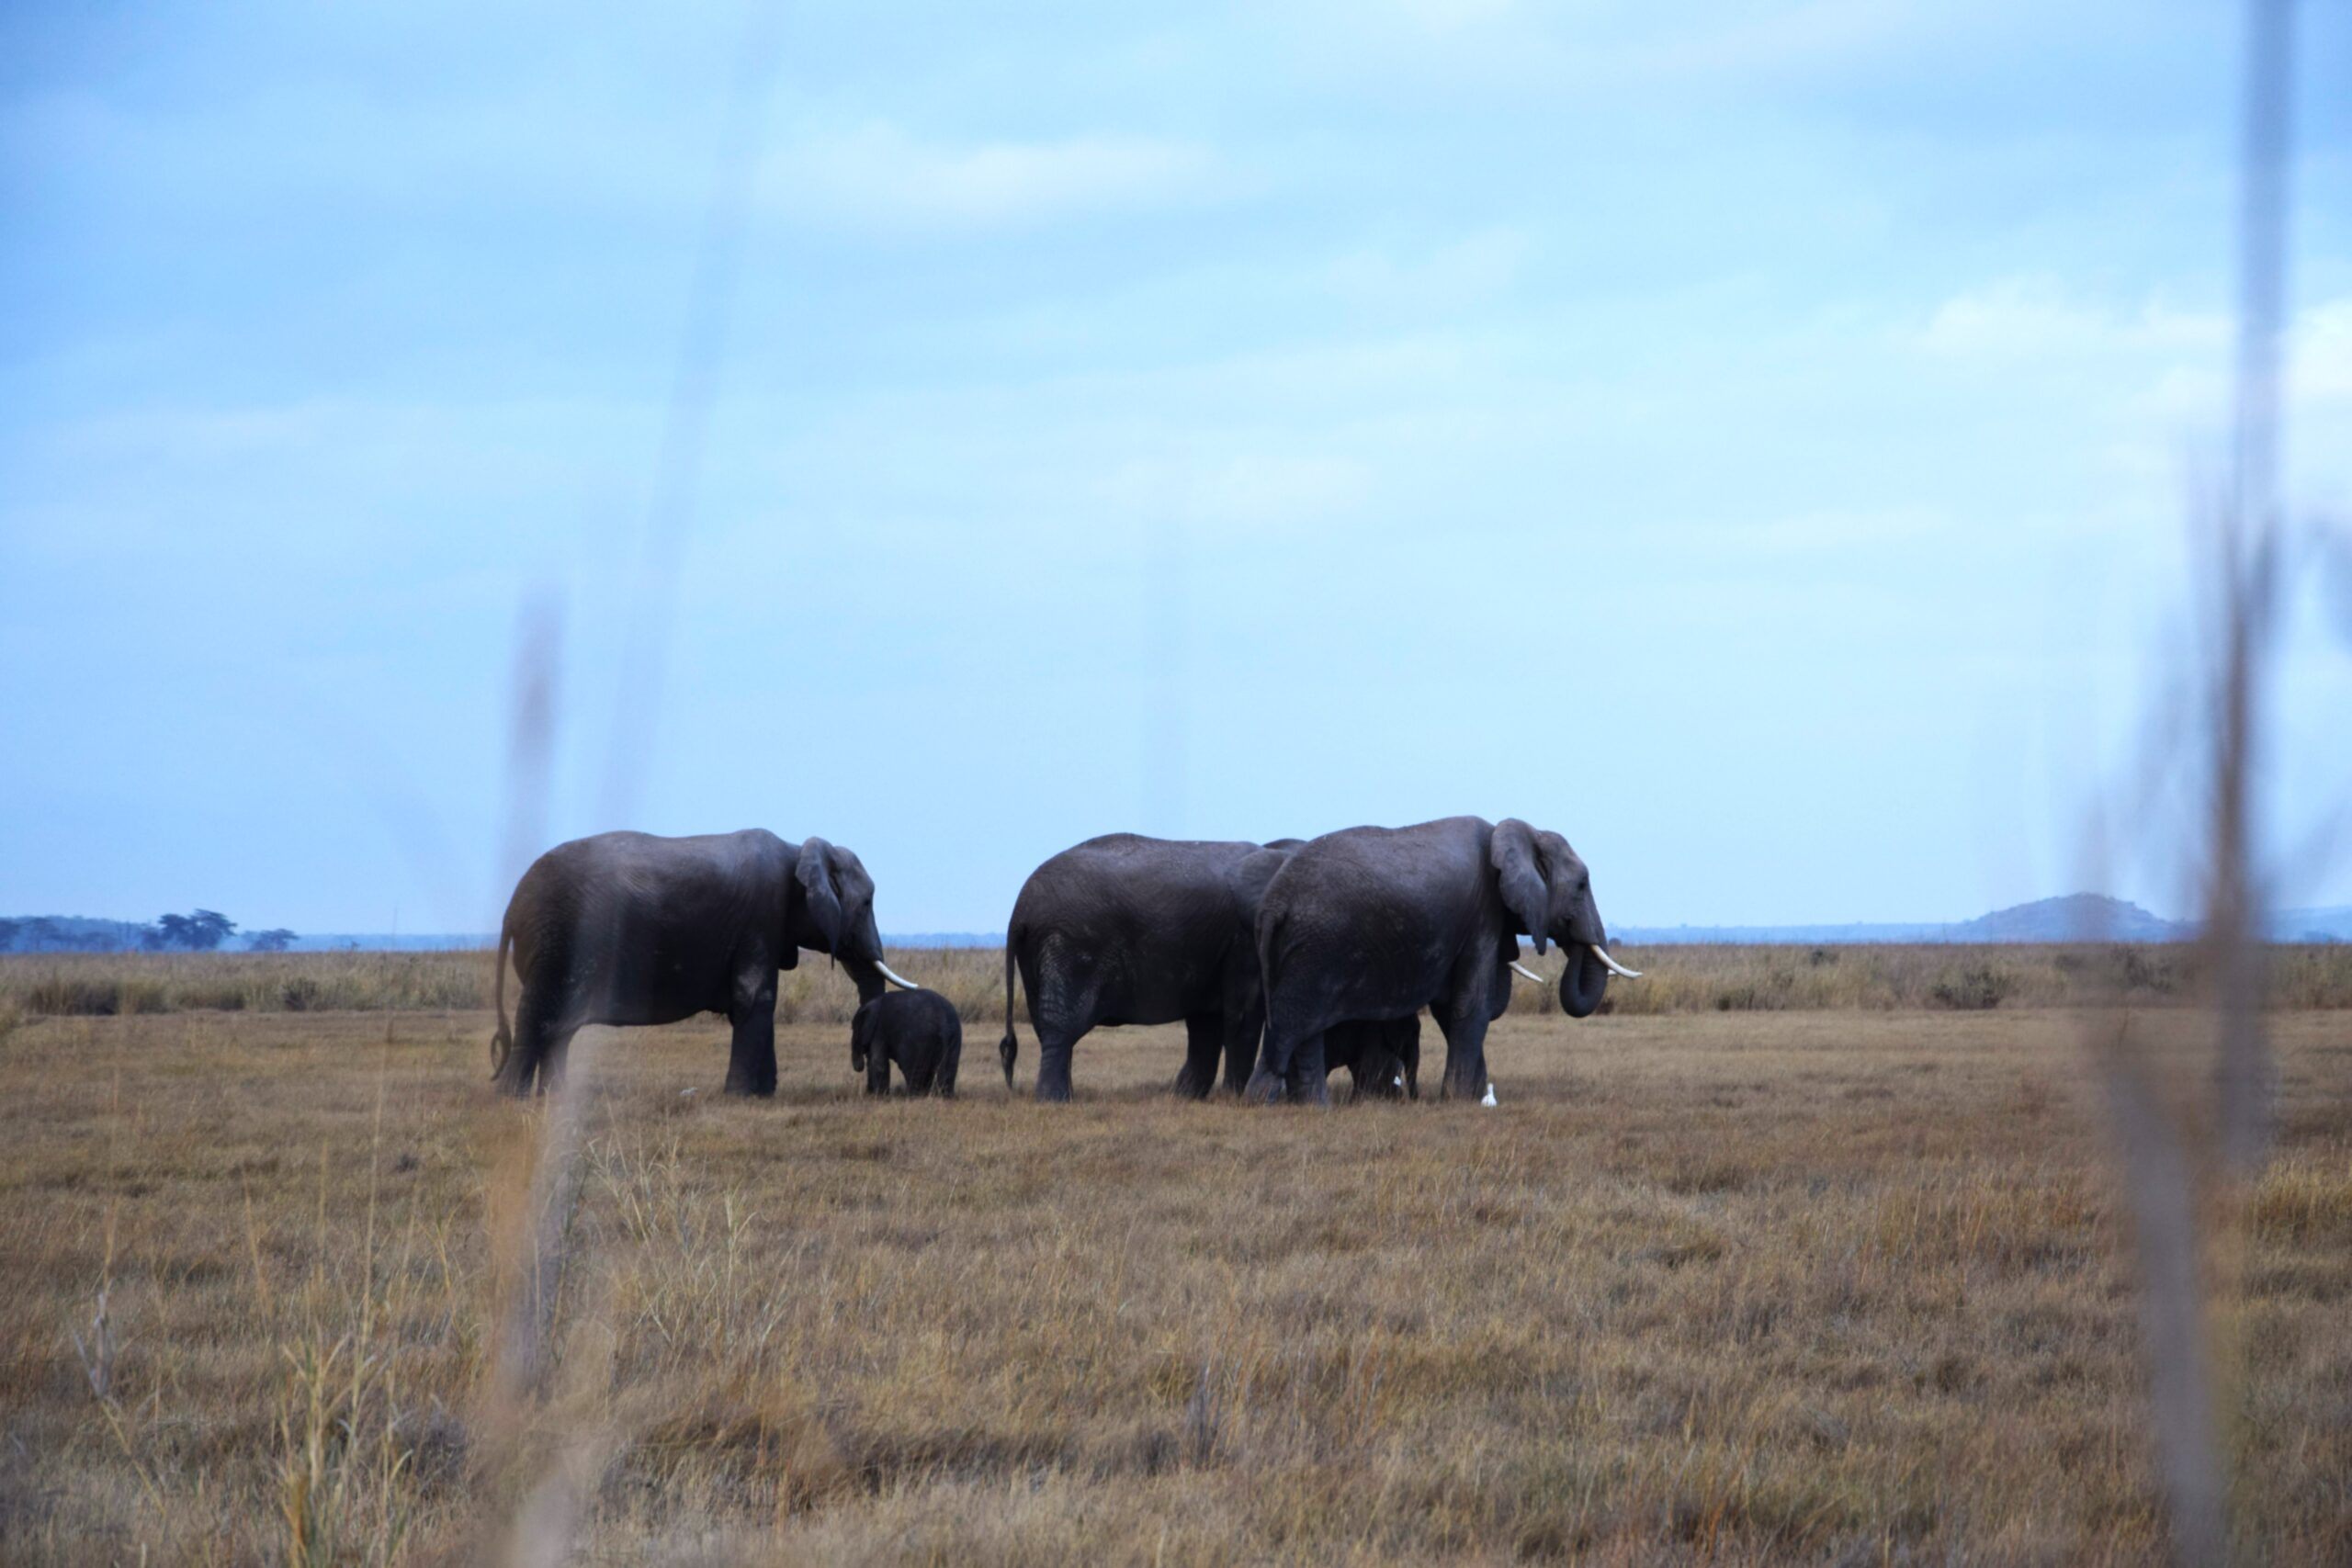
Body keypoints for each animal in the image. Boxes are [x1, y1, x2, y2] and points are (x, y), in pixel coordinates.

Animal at [490, 829, 919, 1097]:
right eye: (867, 903)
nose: (868, 1085)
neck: (800, 849)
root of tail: (510, 907)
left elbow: (757, 1002)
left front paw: (764, 1094)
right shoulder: (761, 916)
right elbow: (756, 997)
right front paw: (742, 1097)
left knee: (559, 1030)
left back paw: (552, 1097)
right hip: (557, 942)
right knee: (538, 1019)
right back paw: (512, 1098)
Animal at [998, 833, 1303, 1101]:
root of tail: (1019, 911)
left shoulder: (1215, 945)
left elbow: (1206, 1022)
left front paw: (1183, 1098)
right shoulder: (1245, 938)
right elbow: (1241, 1015)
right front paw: (1233, 1098)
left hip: (1038, 952)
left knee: (1046, 1024)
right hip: (1070, 943)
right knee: (1062, 1024)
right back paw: (1055, 1100)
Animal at [1248, 816, 1638, 1105]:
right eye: (1582, 885)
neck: (1518, 832)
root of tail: (1271, 906)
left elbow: (1451, 1006)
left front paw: (1477, 1094)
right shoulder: (1483, 913)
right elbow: (1470, 1003)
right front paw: (1461, 1098)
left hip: (1299, 951)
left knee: (1299, 1027)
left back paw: (1306, 1104)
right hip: (1316, 949)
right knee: (1295, 1025)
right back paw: (1269, 1102)